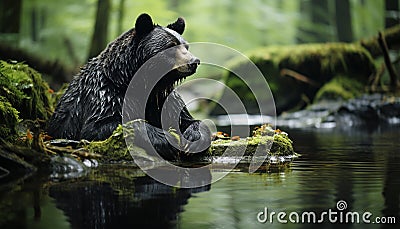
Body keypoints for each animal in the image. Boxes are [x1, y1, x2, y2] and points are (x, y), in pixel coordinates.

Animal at [48, 13, 211, 161]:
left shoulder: (162, 99)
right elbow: (100, 126)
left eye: (186, 46)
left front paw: (194, 138)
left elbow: (186, 119)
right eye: (171, 46)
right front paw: (165, 139)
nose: (194, 61)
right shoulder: (106, 96)